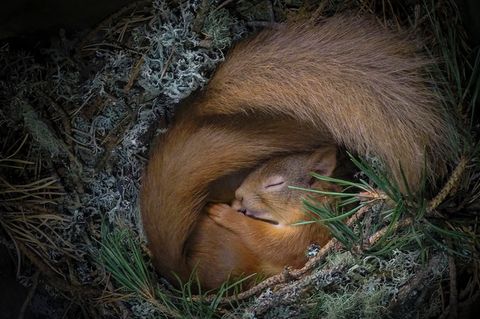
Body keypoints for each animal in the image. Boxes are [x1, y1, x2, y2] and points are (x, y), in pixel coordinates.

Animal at [139, 15, 458, 290]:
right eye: (257, 168)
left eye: (276, 184)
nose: (238, 197)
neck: (315, 202)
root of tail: (182, 275)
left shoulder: (309, 232)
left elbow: (270, 244)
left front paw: (226, 214)